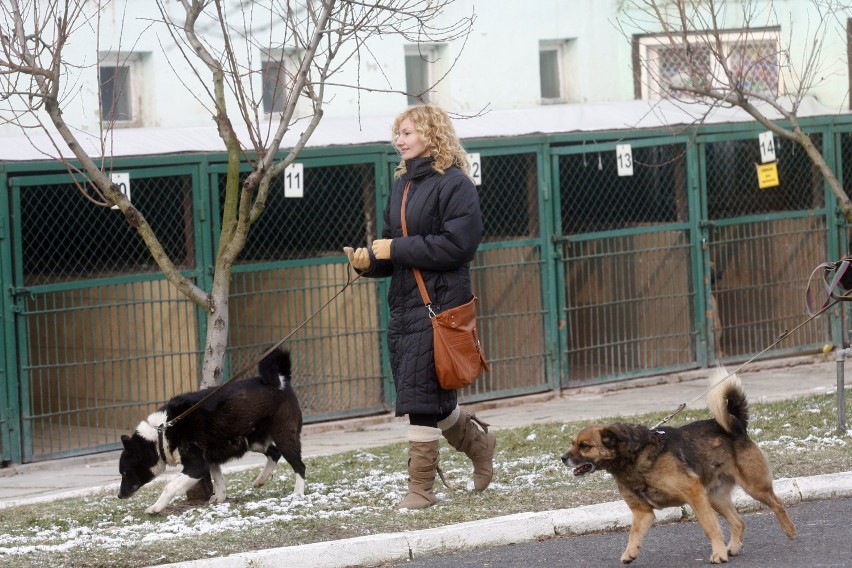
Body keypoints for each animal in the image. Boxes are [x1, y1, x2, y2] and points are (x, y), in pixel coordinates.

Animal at [116, 346, 306, 516]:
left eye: (125, 473)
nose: (119, 495)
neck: (161, 433)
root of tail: (282, 381)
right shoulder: (211, 458)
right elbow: (218, 478)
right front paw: (220, 498)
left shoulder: (197, 466)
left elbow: (170, 486)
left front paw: (155, 507)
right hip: (251, 441)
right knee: (274, 452)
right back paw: (261, 479)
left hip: (283, 436)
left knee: (299, 466)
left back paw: (297, 493)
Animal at [564, 368, 796, 564]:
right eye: (572, 443)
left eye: (584, 446)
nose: (562, 458)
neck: (633, 458)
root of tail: (738, 426)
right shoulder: (642, 512)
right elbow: (633, 534)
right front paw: (630, 553)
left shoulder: (693, 493)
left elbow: (710, 527)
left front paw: (718, 554)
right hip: (714, 496)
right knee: (739, 522)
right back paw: (733, 547)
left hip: (753, 487)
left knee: (777, 503)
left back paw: (789, 530)